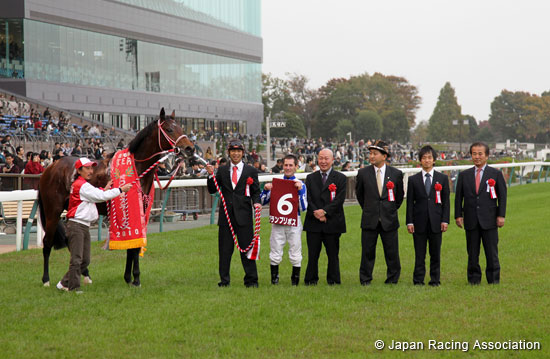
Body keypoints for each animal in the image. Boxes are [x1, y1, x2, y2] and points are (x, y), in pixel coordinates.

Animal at [37, 108, 196, 288]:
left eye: (181, 128)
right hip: (53, 211)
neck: (137, 167)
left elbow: (133, 247)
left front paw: (129, 277)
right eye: (169, 129)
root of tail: (50, 168)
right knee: (47, 242)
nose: (190, 148)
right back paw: (46, 280)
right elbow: (133, 246)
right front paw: (136, 278)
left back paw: (85, 274)